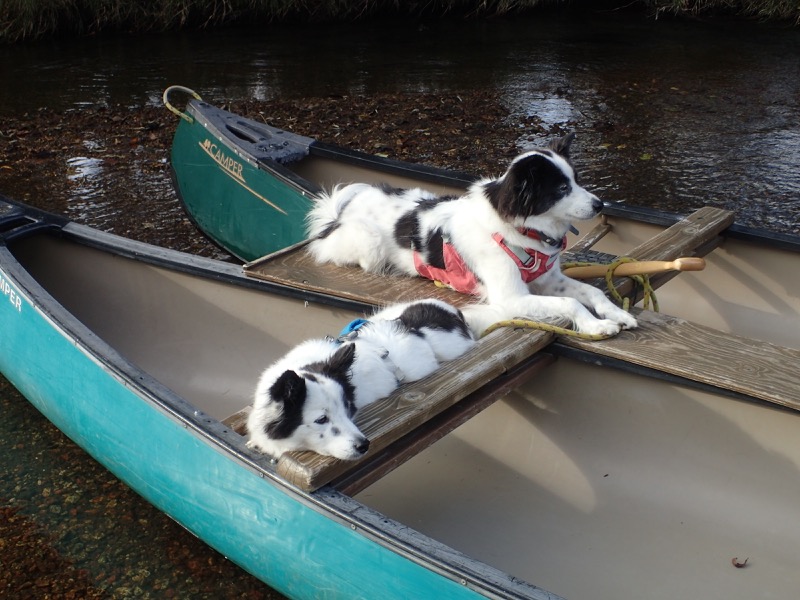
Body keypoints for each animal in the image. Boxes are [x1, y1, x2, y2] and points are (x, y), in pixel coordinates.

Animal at [306, 134, 636, 338]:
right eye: (562, 189)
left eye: (577, 181)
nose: (600, 205)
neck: (522, 230)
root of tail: (338, 213)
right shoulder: (512, 298)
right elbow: (571, 304)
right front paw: (597, 327)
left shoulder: (549, 280)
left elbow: (592, 292)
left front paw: (618, 314)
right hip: (369, 243)